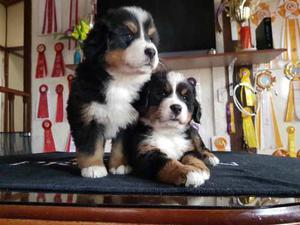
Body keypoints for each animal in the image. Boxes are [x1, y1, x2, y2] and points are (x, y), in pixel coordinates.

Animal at [66, 6, 159, 178]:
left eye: (150, 38)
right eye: (128, 35)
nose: (151, 51)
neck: (121, 80)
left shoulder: (129, 120)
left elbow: (121, 146)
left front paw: (120, 165)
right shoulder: (87, 115)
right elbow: (90, 145)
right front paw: (93, 167)